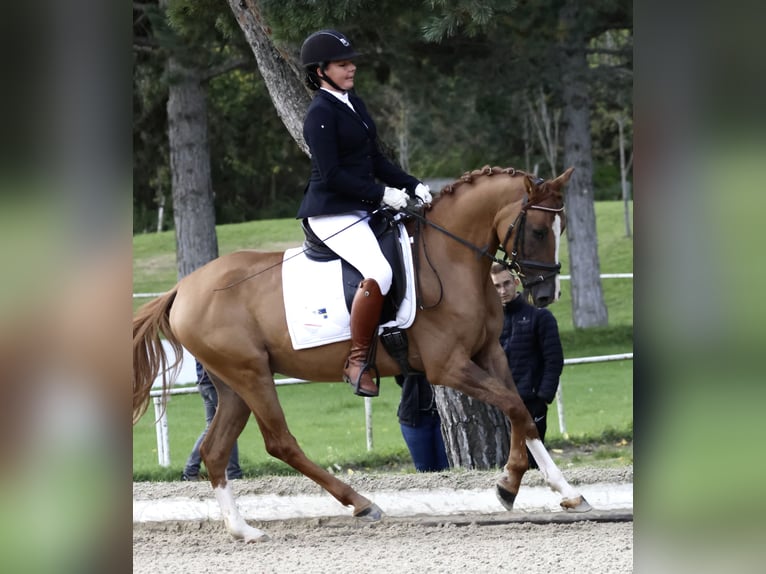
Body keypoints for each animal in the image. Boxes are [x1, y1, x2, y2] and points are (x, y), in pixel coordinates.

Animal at [132, 164, 592, 544]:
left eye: (563, 226)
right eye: (538, 230)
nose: (546, 295)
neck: (452, 259)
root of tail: (183, 288)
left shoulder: (489, 354)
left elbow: (522, 413)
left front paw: (564, 493)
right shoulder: (448, 367)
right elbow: (514, 406)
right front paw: (509, 483)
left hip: (232, 385)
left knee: (215, 450)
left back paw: (244, 530)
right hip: (252, 375)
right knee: (280, 442)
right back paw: (361, 503)